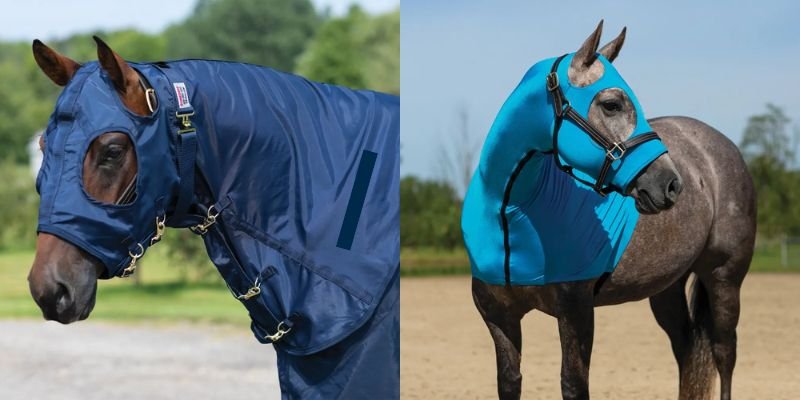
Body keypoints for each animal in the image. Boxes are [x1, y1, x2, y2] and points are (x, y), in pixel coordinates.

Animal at [464, 22, 755, 400]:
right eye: (612, 104)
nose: (671, 184)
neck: (512, 217)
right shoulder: (498, 316)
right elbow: (509, 383)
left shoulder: (576, 311)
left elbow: (573, 384)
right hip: (667, 288)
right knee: (685, 350)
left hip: (724, 277)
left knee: (724, 354)